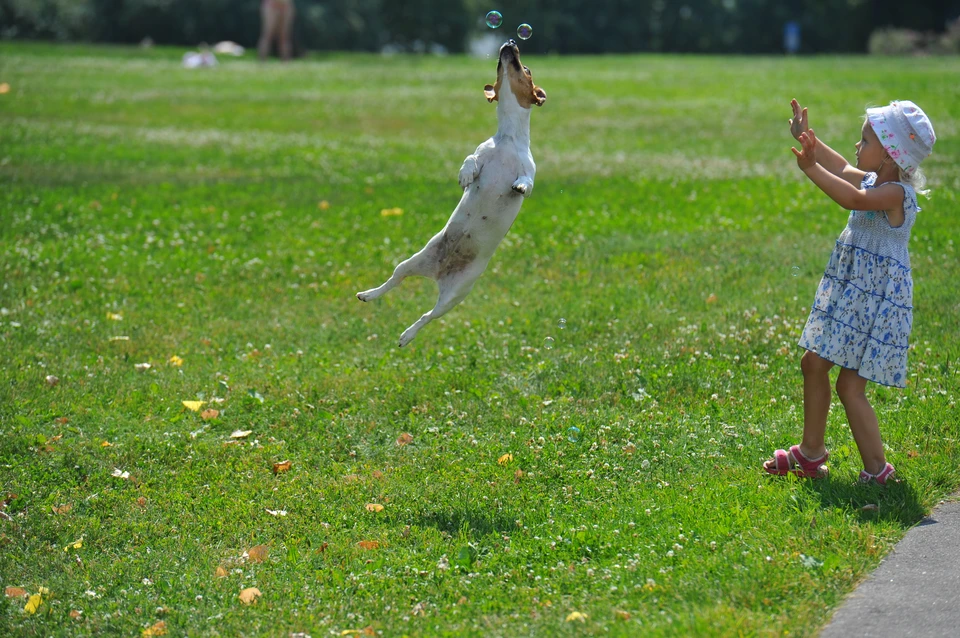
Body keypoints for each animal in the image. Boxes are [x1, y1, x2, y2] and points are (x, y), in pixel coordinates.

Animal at [354, 38, 548, 350]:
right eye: (500, 65)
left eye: (525, 69)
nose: (509, 42)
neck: (507, 139)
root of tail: (438, 273)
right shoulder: (480, 154)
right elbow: (471, 159)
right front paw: (466, 175)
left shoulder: (529, 171)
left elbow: (526, 183)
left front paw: (517, 186)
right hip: (414, 261)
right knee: (394, 280)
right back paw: (369, 295)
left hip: (455, 295)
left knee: (427, 315)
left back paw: (407, 335)